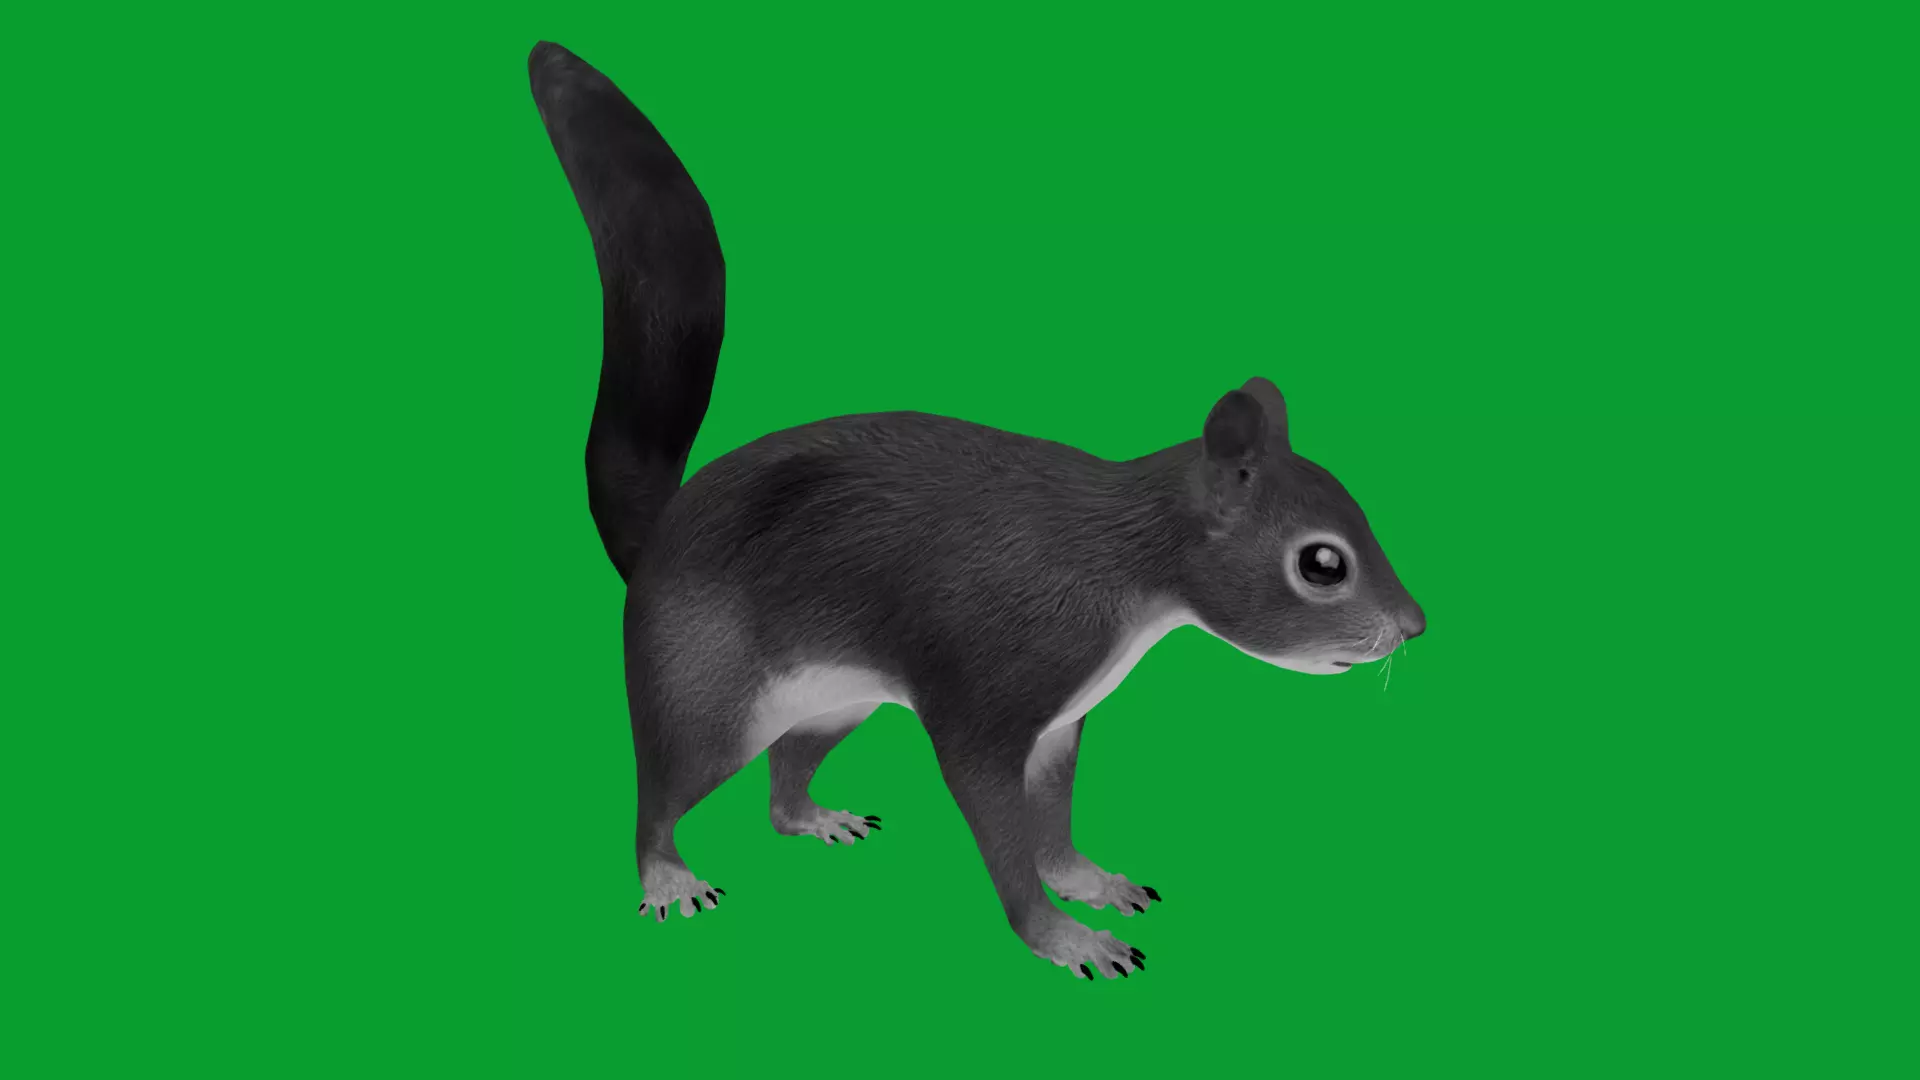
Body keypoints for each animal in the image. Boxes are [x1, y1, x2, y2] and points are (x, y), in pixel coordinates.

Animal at [529, 41, 1426, 982]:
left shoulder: (1062, 721)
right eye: (1321, 563)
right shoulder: (989, 693)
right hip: (706, 694)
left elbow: (1053, 821)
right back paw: (667, 875)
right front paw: (1064, 937)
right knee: (663, 793)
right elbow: (1001, 828)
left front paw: (1089, 881)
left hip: (836, 700)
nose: (1413, 626)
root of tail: (660, 540)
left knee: (784, 776)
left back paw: (813, 816)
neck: (1126, 570)